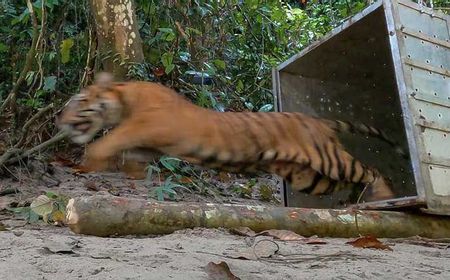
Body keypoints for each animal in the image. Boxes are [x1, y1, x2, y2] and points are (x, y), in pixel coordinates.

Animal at [57, 72, 400, 201]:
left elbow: (110, 139)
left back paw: (383, 195)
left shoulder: (146, 124)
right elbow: (128, 155)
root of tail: (320, 121)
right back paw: (357, 201)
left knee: (368, 169)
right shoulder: (147, 145)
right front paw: (129, 172)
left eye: (79, 101)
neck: (122, 99)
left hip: (328, 159)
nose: (59, 118)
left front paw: (90, 160)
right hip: (309, 177)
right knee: (351, 180)